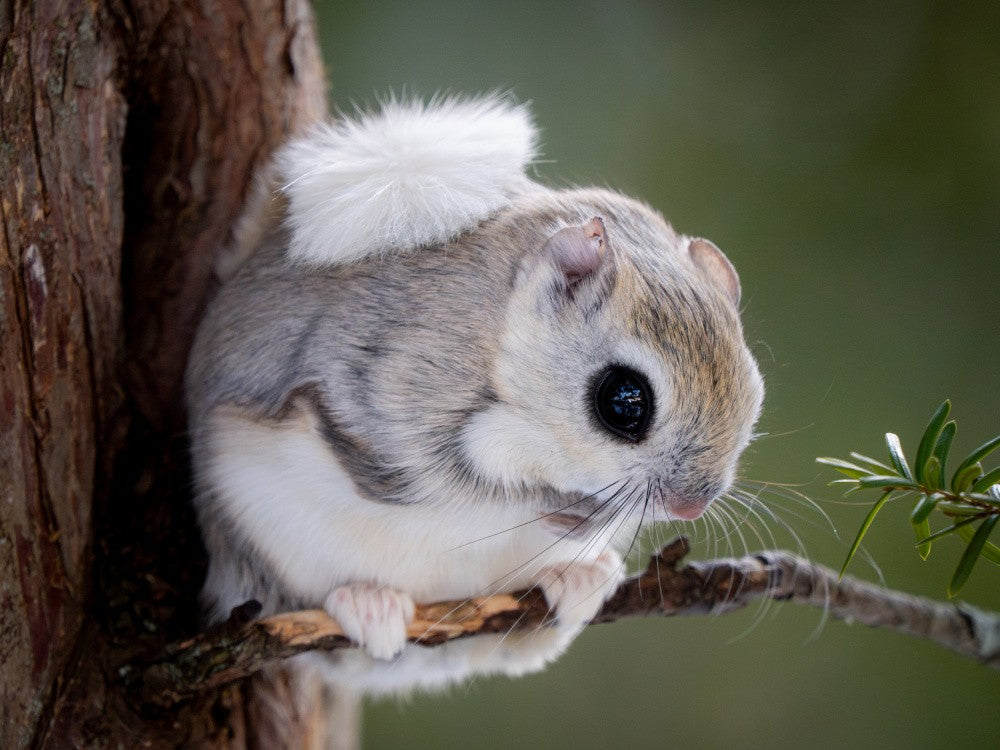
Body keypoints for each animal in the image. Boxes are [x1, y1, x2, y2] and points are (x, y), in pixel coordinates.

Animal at [185, 95, 765, 695]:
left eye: (754, 389)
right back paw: (366, 604)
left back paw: (579, 577)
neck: (502, 340)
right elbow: (461, 485)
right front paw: (564, 508)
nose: (690, 506)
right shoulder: (385, 392)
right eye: (625, 401)